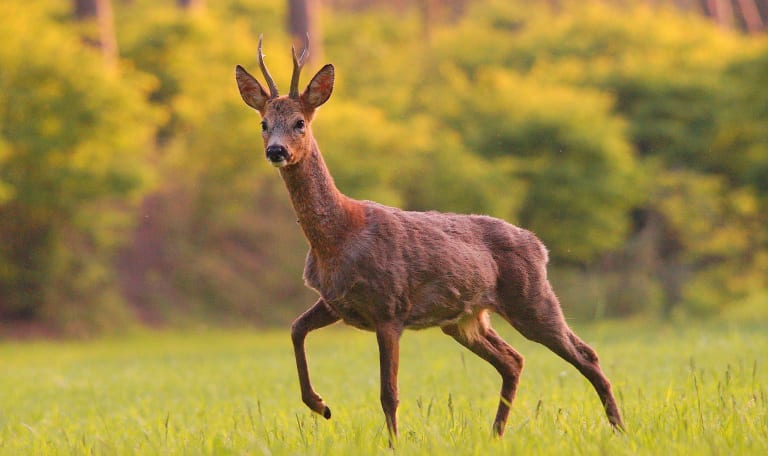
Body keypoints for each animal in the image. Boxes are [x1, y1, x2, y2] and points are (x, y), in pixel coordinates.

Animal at [234, 36, 624, 442]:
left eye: (299, 123)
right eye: (263, 123)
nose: (276, 151)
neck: (339, 236)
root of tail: (540, 247)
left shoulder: (390, 306)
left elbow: (388, 393)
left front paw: (392, 443)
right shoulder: (336, 301)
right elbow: (295, 329)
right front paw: (320, 405)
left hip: (531, 298)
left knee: (584, 353)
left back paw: (618, 427)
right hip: (465, 319)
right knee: (513, 360)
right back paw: (496, 434)